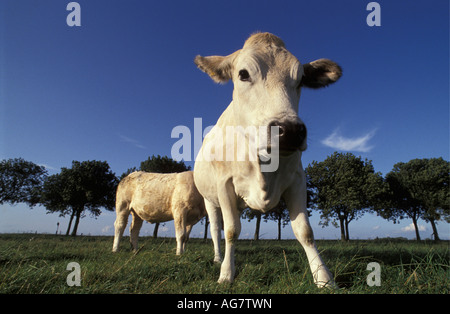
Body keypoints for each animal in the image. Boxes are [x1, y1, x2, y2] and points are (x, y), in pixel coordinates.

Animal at [193, 32, 342, 288]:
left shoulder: (298, 180)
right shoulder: (224, 184)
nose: (289, 130)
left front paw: (324, 278)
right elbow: (230, 230)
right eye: (243, 74)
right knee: (215, 229)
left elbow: (305, 231)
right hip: (209, 199)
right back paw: (218, 258)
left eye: (301, 79)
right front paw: (226, 273)